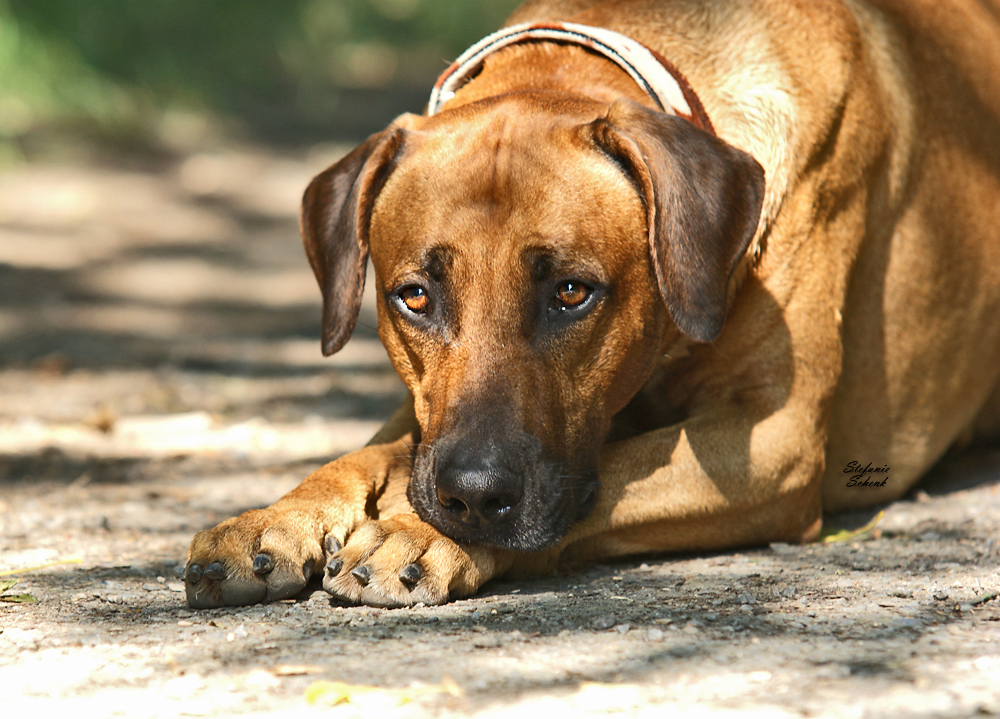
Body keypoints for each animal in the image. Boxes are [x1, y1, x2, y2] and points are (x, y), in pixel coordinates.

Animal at [184, 0, 1000, 612]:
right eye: (414, 296)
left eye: (572, 293)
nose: (472, 498)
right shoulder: (427, 414)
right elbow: (365, 453)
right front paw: (274, 520)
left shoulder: (773, 444)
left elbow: (614, 469)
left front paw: (423, 534)